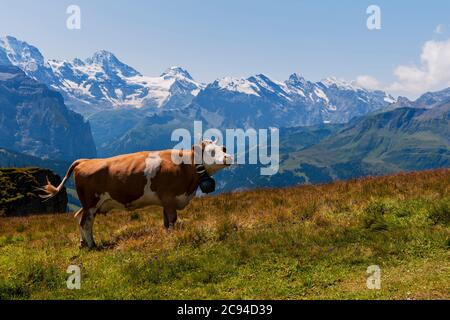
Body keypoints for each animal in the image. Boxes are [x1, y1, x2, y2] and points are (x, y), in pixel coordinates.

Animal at [37, 141, 234, 250]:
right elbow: (172, 220)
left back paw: (83, 243)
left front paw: (166, 235)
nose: (229, 157)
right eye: (211, 152)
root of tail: (84, 161)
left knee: (78, 217)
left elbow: (166, 221)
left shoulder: (165, 201)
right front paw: (172, 237)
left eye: (224, 147)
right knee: (85, 222)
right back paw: (92, 245)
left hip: (88, 204)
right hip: (91, 202)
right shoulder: (169, 197)